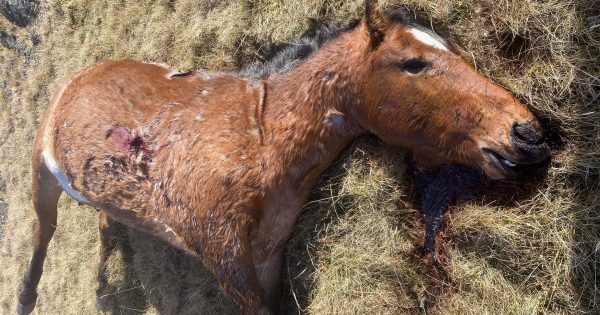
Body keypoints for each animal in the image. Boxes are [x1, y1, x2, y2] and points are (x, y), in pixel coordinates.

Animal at [17, 1, 552, 314]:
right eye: (414, 63)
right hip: (41, 175)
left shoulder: (269, 253)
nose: (526, 133)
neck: (258, 134)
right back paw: (26, 296)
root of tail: (78, 76)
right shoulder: (227, 260)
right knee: (43, 232)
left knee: (106, 221)